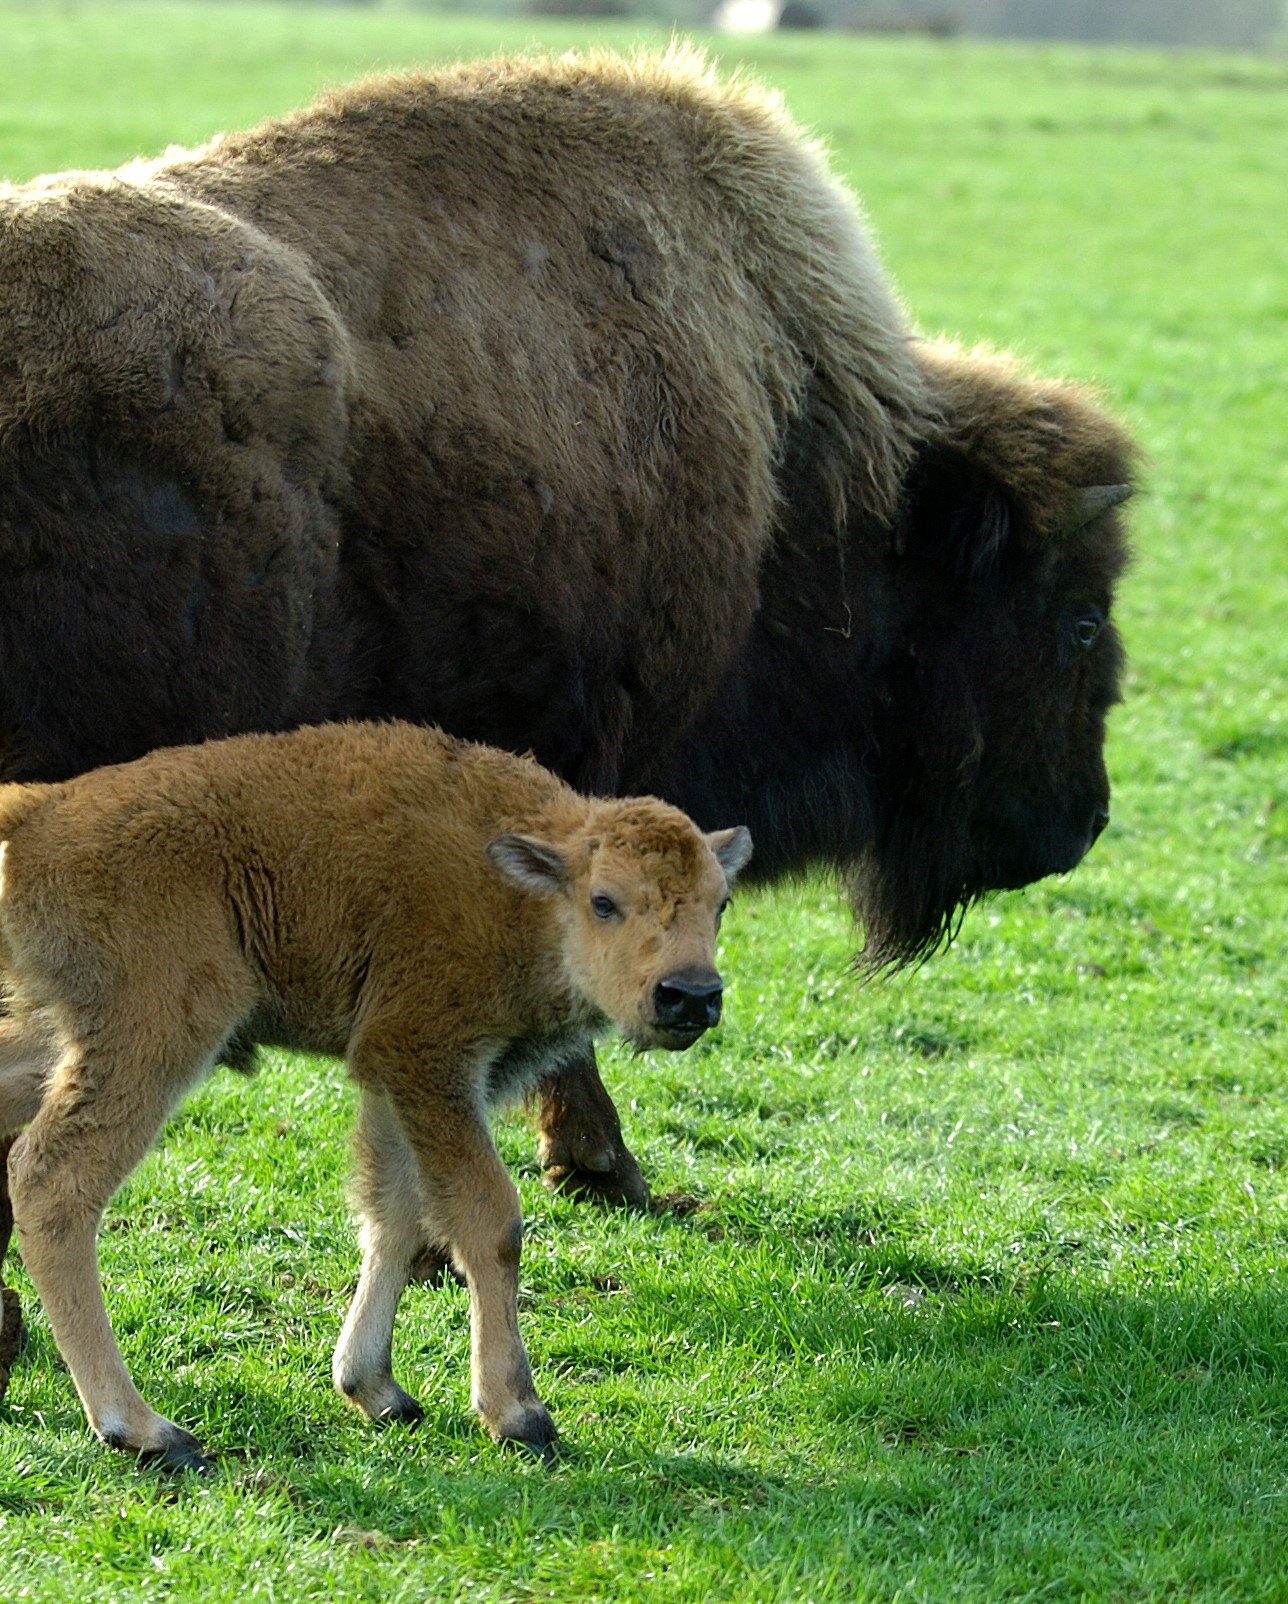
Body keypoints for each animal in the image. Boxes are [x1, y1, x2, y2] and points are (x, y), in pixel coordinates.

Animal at [0, 721, 744, 1469]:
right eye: (604, 901)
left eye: (721, 903)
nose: (691, 995)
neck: (525, 891)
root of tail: (35, 815)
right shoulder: (428, 1058)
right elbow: (489, 1219)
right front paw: (519, 1414)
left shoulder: (392, 1078)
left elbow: (396, 1214)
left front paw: (374, 1387)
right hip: (153, 1037)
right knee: (52, 1183)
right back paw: (142, 1428)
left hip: (60, 1037)